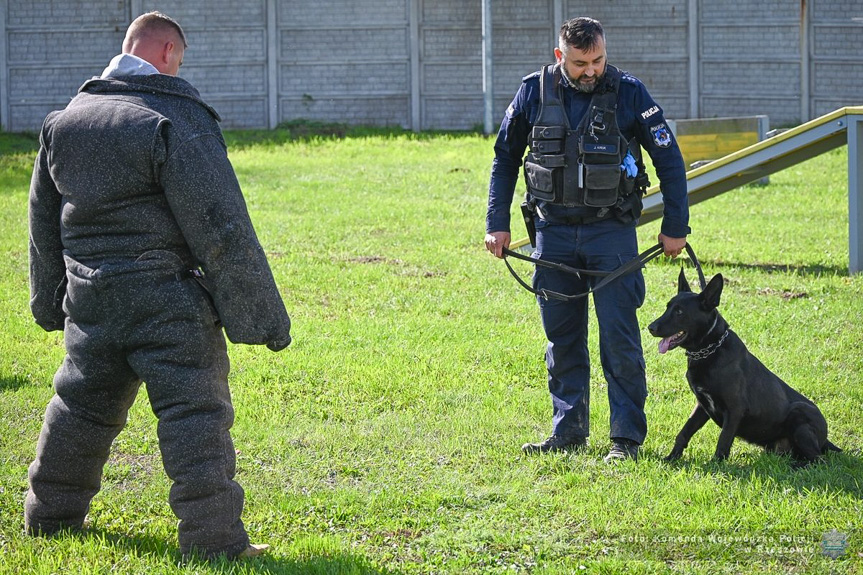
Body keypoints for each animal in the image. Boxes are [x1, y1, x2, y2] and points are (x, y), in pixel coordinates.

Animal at [652, 272, 840, 466]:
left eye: (679, 312)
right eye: (668, 307)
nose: (651, 328)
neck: (711, 349)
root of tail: (825, 439)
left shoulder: (735, 410)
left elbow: (724, 439)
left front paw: (716, 466)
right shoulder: (702, 406)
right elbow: (684, 432)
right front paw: (671, 457)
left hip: (799, 413)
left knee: (819, 460)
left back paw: (796, 466)